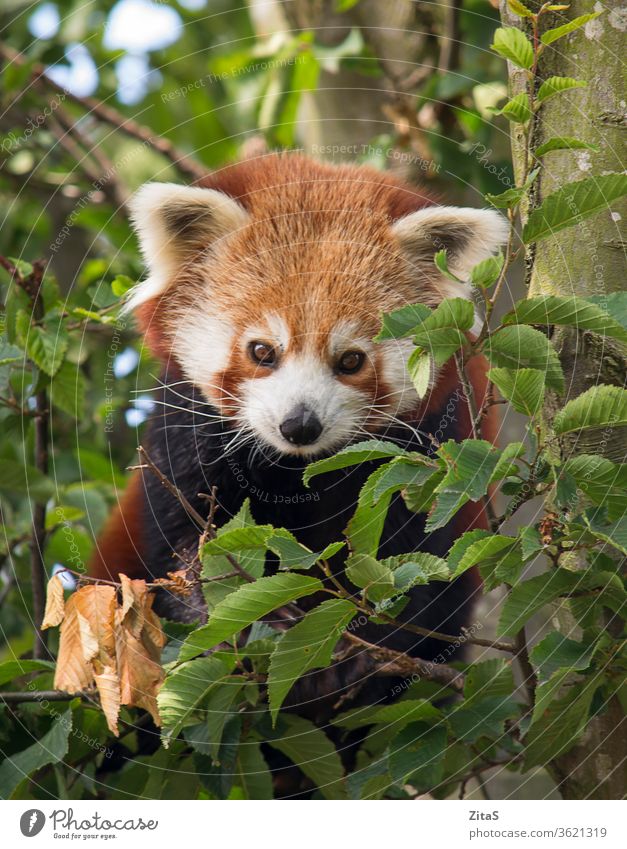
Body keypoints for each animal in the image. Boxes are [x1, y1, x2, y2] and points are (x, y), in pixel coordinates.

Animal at [92, 152, 506, 724]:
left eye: (351, 360)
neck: (298, 467)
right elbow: (187, 546)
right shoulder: (187, 430)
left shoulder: (429, 449)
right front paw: (249, 634)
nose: (299, 424)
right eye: (263, 351)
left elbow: (420, 565)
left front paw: (361, 658)